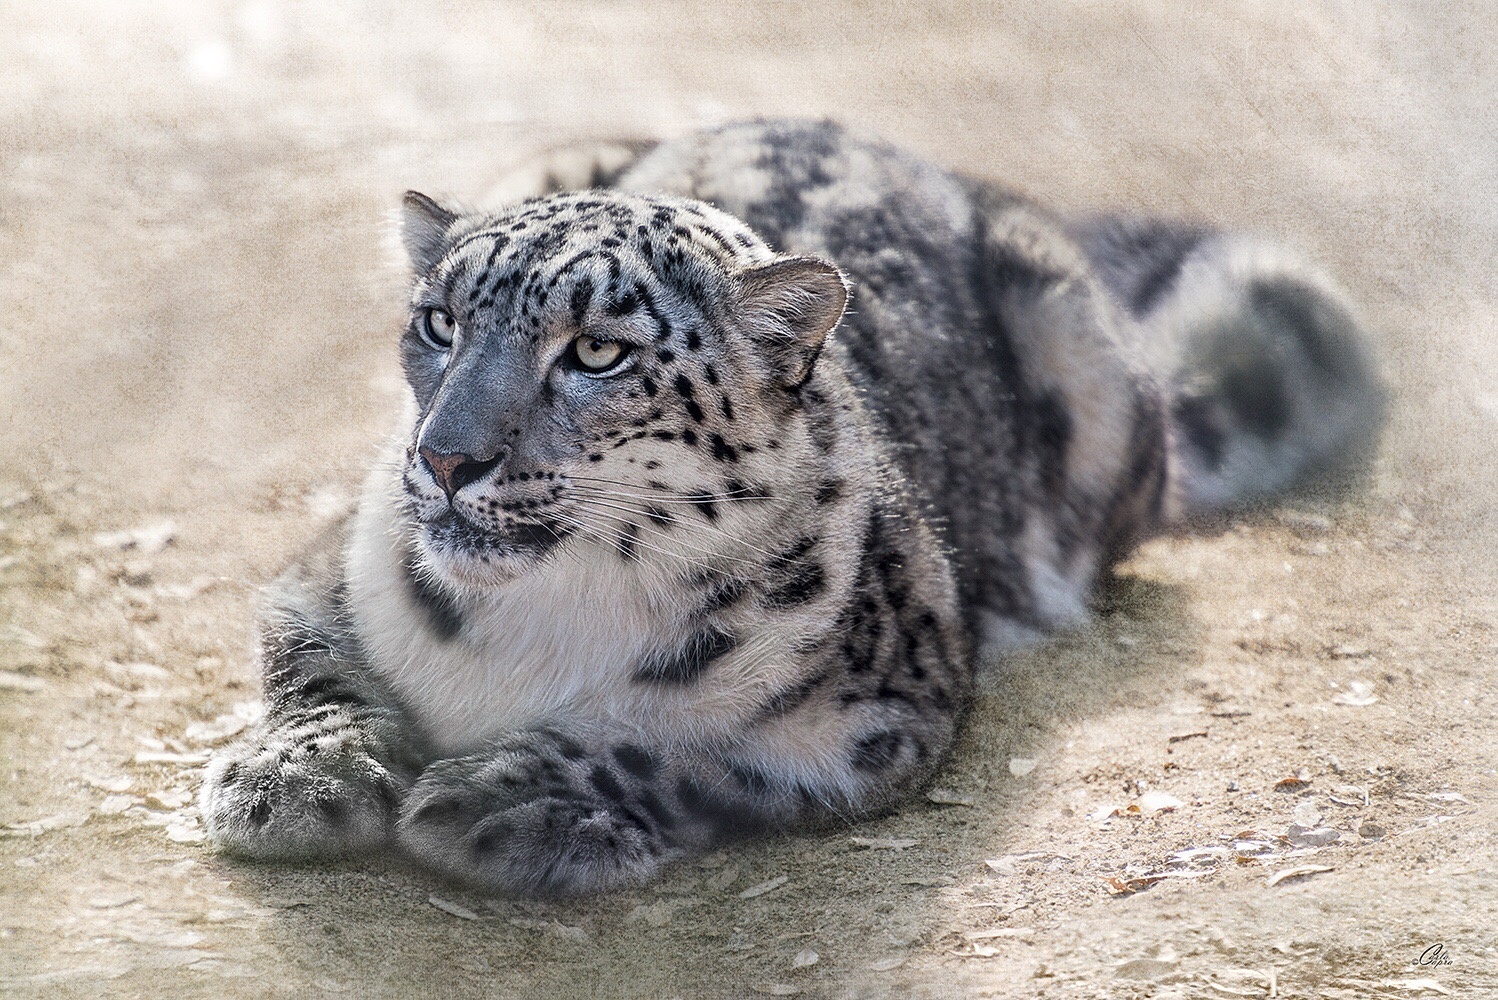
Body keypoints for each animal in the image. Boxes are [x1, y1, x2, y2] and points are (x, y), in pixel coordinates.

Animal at [201, 119, 1384, 896]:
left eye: (596, 352)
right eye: (438, 324)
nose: (445, 458)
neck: (540, 618)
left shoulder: (876, 716)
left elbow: (679, 750)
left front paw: (500, 798)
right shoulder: (317, 573)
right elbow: (316, 672)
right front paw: (293, 780)